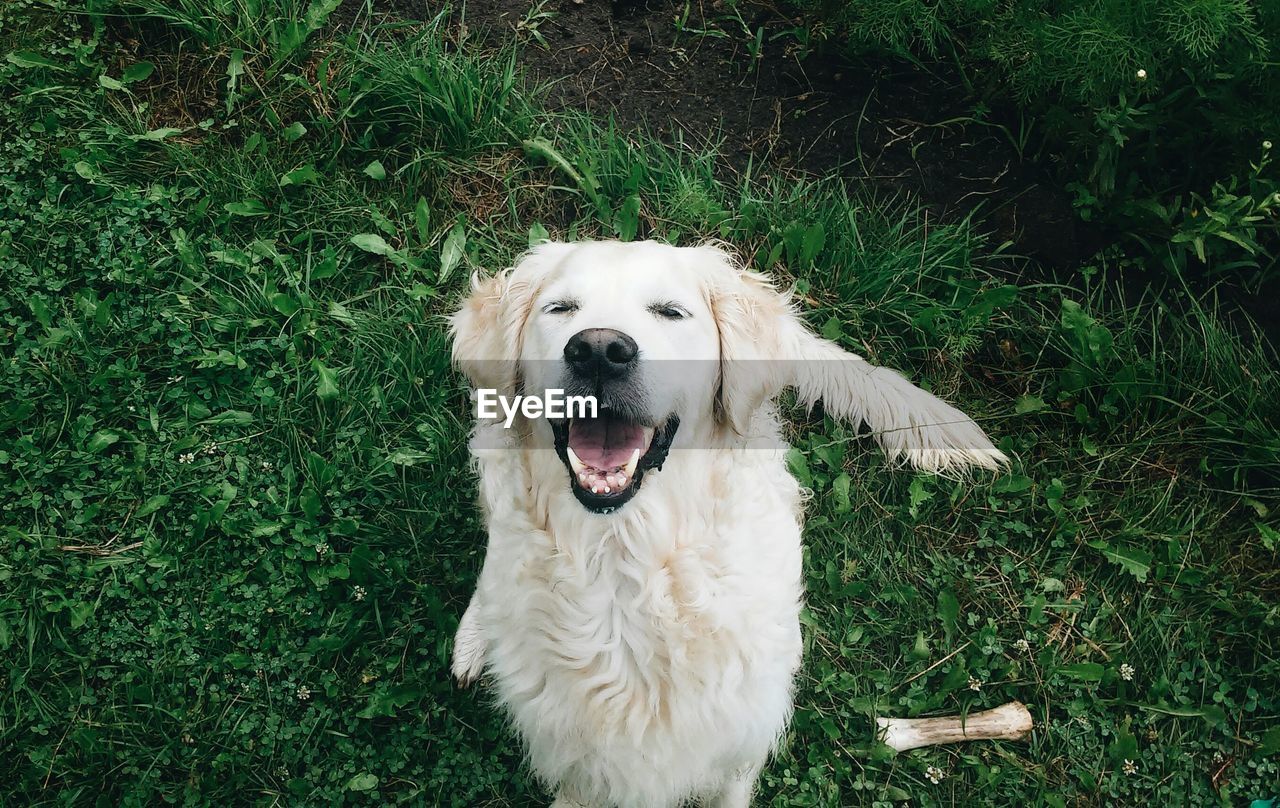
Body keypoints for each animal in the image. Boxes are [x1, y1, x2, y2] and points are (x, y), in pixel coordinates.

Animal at [448, 242, 998, 808]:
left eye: (670, 312)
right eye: (559, 308)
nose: (599, 351)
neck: (625, 562)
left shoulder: (738, 747)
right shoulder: (578, 762)